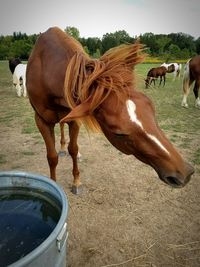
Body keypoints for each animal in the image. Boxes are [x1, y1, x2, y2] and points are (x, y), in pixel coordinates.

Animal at [26, 27, 194, 195]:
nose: (185, 173)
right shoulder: (41, 120)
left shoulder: (74, 117)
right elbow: (52, 157)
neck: (48, 70)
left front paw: (76, 182)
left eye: (152, 109)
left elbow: (73, 149)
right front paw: (53, 184)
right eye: (119, 133)